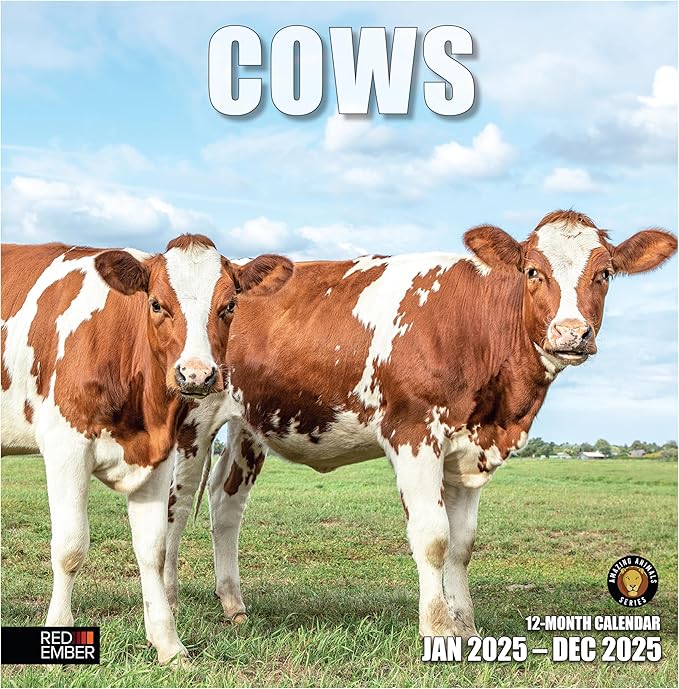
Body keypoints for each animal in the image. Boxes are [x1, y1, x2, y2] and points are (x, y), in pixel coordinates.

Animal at [0, 235, 293, 664]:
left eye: (230, 305)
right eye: (156, 303)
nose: (196, 374)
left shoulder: (159, 455)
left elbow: (153, 549)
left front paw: (168, 644)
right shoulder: (65, 445)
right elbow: (70, 548)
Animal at [163, 210, 676, 640]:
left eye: (604, 274)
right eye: (533, 271)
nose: (572, 333)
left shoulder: (470, 448)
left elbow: (462, 543)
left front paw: (466, 625)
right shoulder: (413, 433)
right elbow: (432, 536)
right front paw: (438, 627)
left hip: (250, 424)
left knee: (225, 503)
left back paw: (233, 604)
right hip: (192, 418)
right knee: (177, 505)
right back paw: (168, 598)